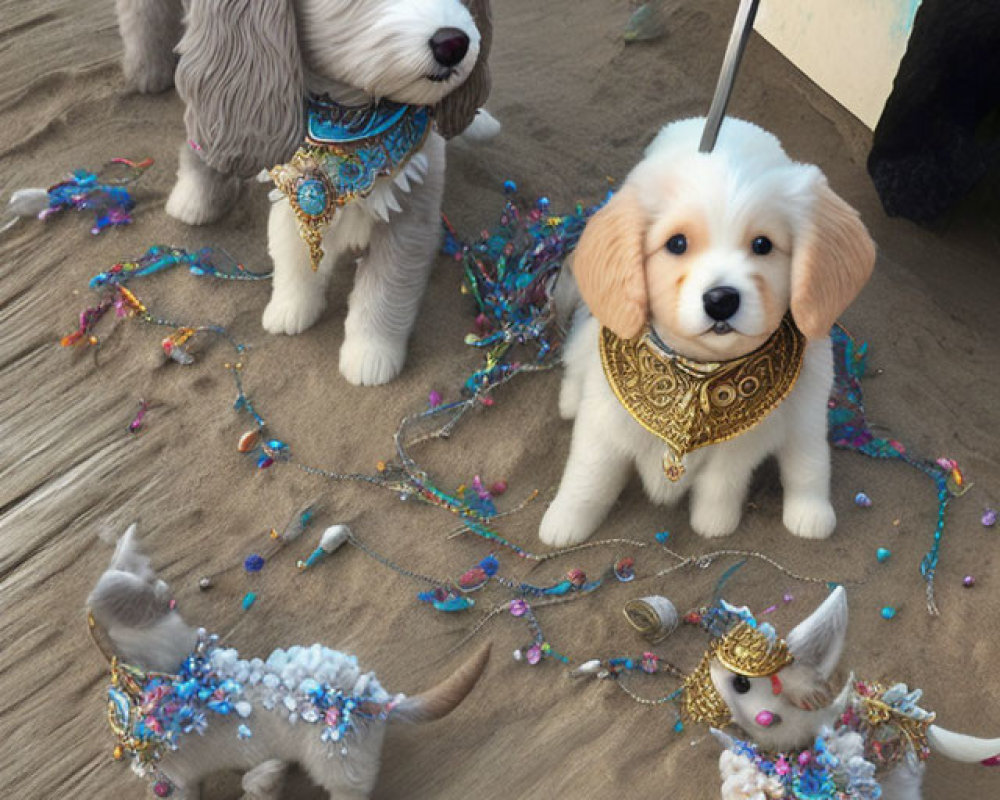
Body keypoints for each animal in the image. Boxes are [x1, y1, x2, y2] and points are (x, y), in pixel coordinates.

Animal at [115, 0, 498, 388]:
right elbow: (292, 251)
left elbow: (386, 288)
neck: (352, 126)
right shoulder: (294, 183)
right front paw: (291, 307)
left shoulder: (413, 209)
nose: (453, 44)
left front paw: (370, 354)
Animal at [540, 117, 876, 544]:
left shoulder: (739, 446)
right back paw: (569, 397)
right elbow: (588, 478)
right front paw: (564, 523)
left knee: (808, 461)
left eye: (763, 244)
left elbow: (721, 485)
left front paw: (713, 523)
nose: (721, 300)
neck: (696, 372)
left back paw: (811, 512)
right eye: (677, 243)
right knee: (578, 352)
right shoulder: (603, 425)